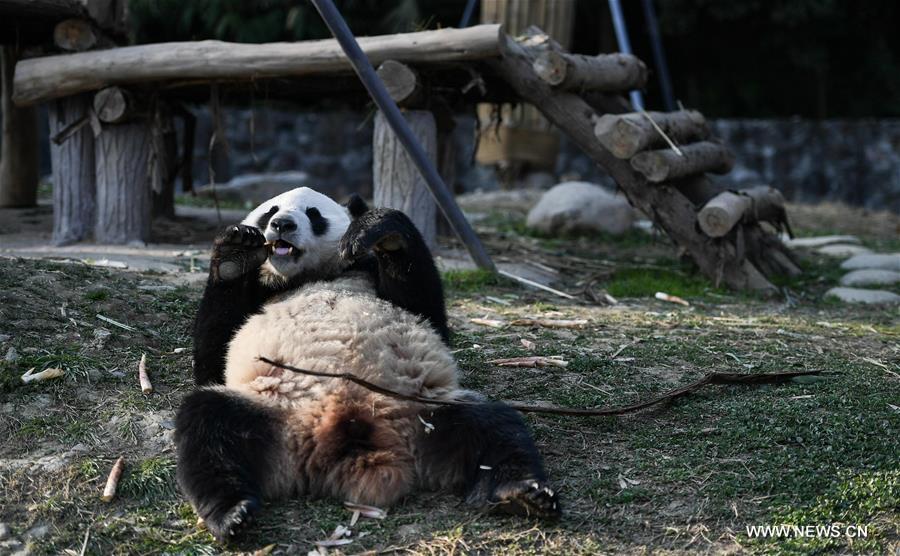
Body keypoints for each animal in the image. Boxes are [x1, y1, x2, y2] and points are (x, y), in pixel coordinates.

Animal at [176, 187, 559, 542]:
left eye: (313, 214)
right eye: (270, 211)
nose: (282, 224)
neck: (309, 275)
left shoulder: (370, 273)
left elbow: (425, 308)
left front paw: (379, 231)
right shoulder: (256, 296)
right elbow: (212, 360)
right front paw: (235, 252)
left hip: (428, 413)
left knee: (495, 426)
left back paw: (522, 493)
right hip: (275, 417)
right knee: (208, 426)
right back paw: (231, 512)